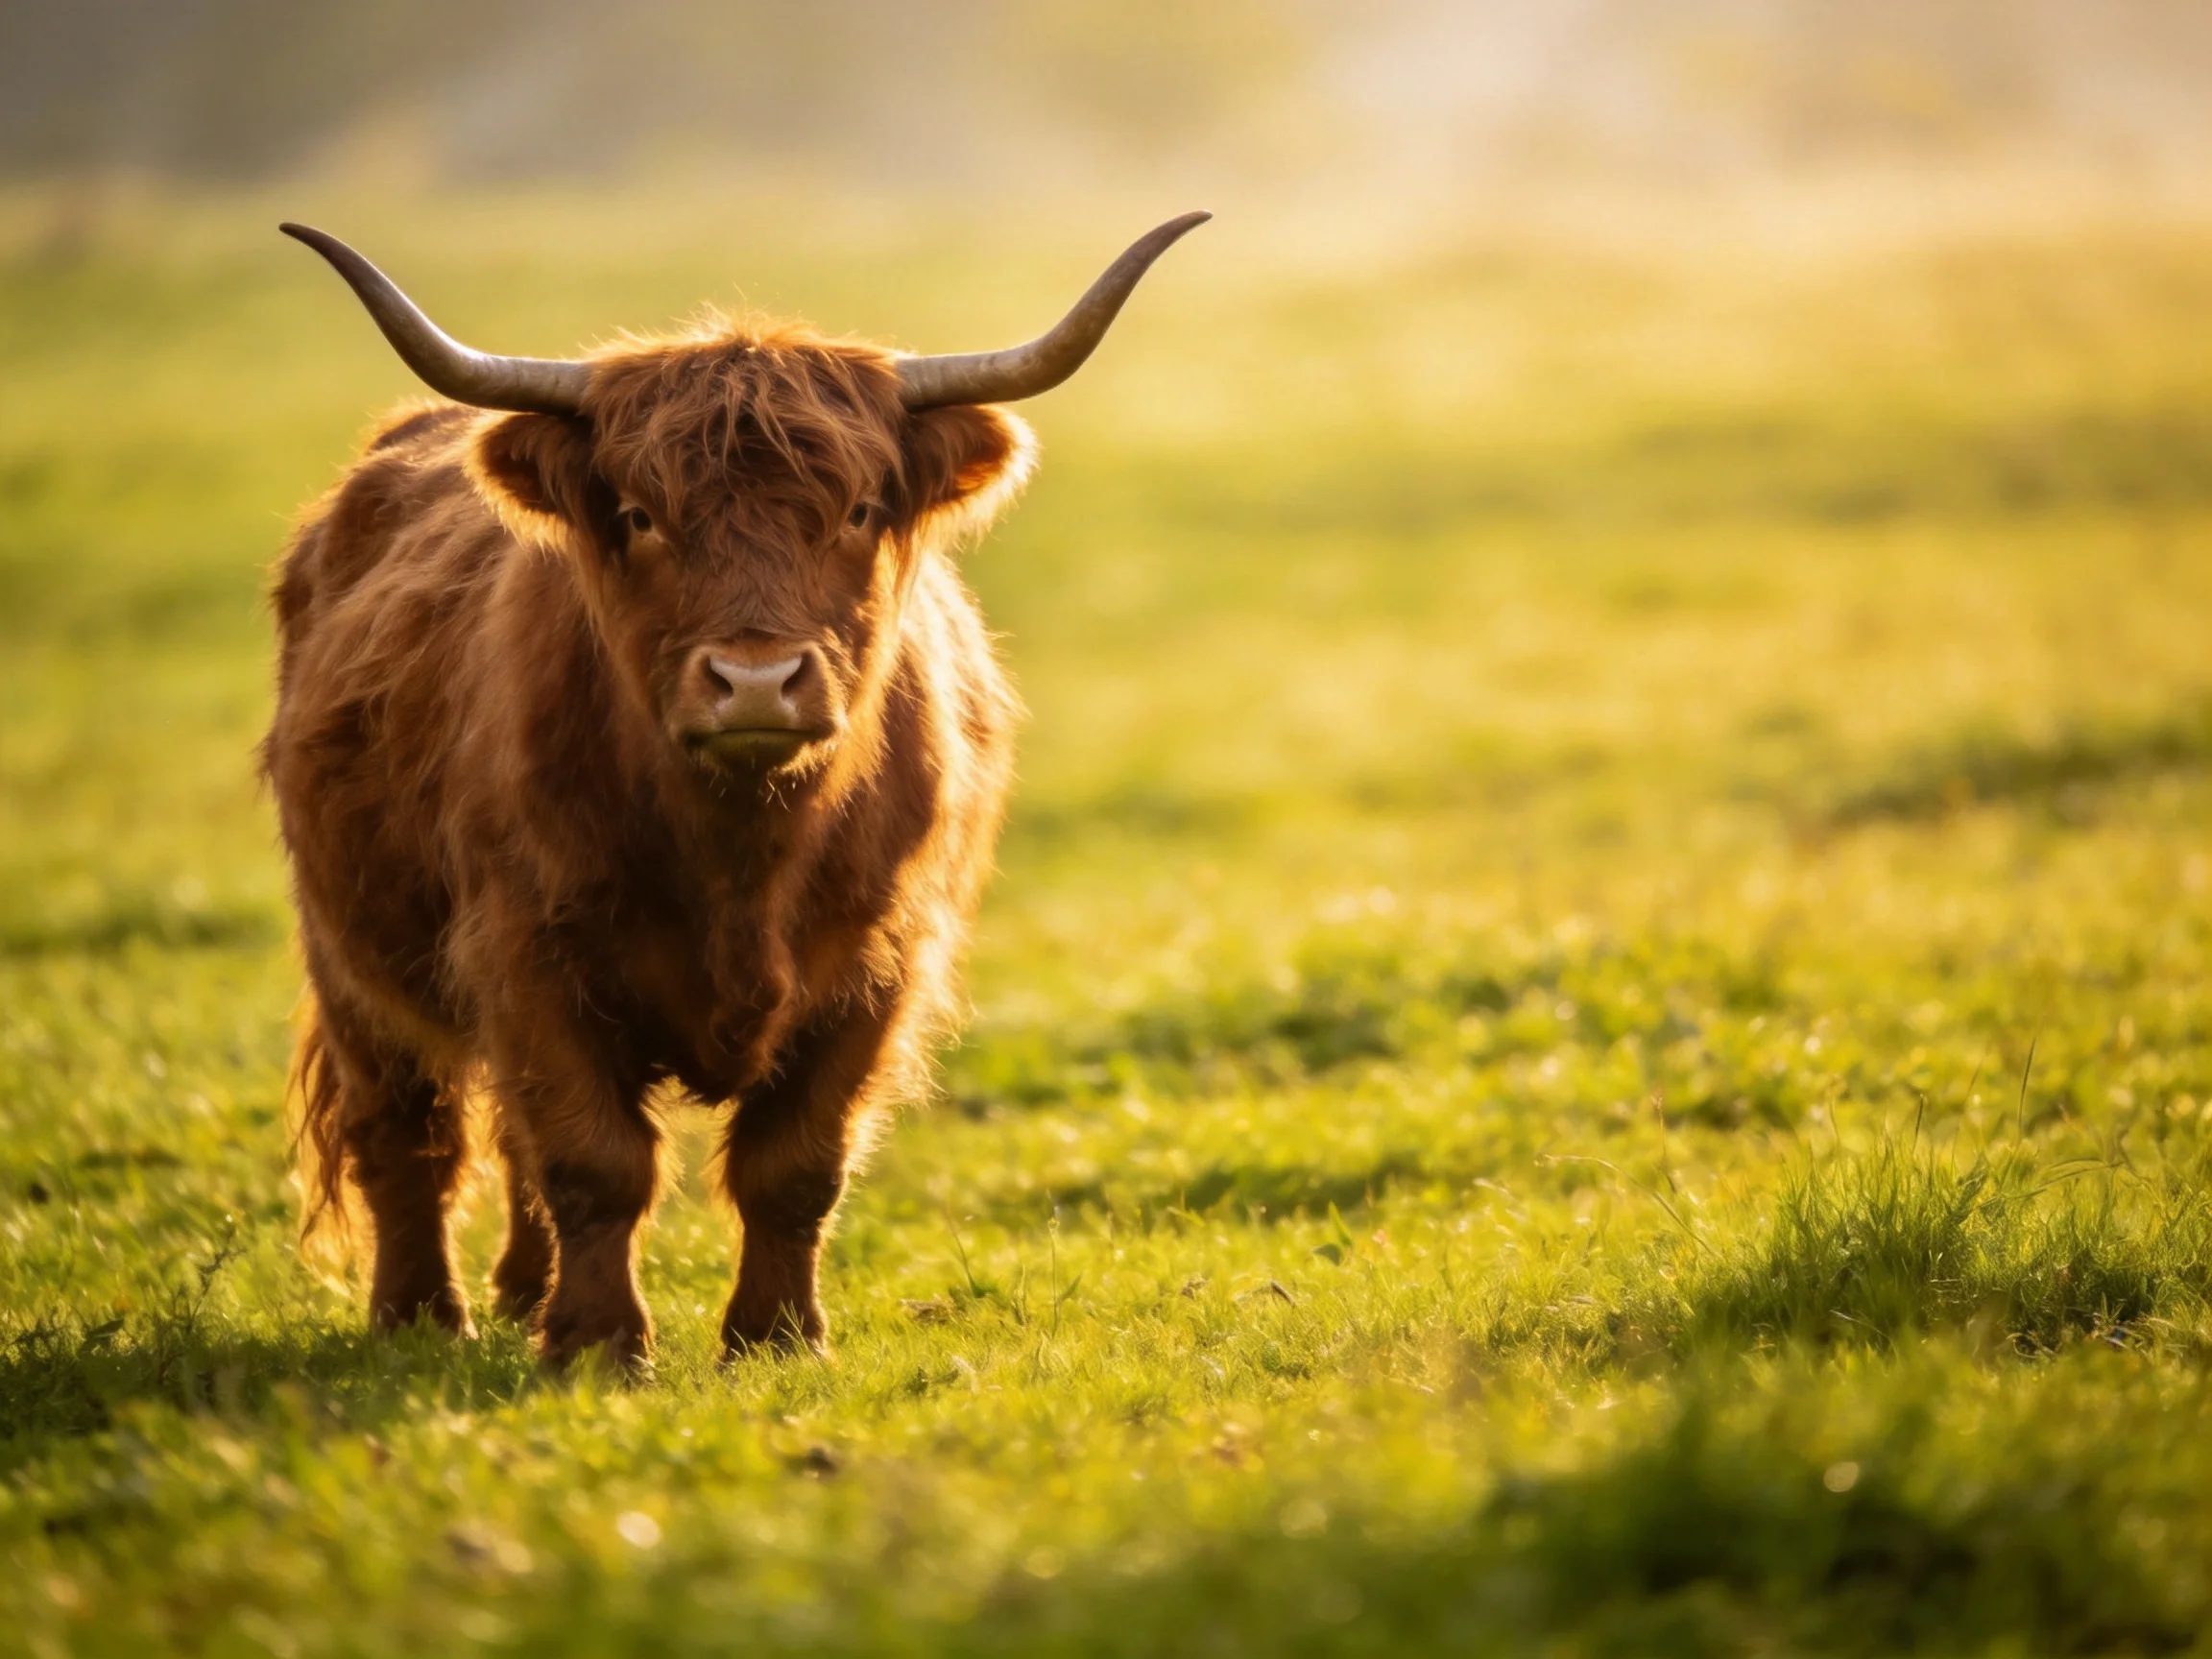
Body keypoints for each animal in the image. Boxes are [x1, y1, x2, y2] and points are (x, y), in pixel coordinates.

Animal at [267, 212, 1206, 1368]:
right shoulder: (524, 951)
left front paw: (777, 1338)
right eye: (638, 516)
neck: (741, 860)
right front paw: (598, 1346)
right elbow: (594, 1159)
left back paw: (520, 1294)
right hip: (348, 955)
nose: (756, 680)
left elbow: (794, 1166)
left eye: (858, 509)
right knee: (409, 1133)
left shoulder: (877, 965)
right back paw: (418, 1315)